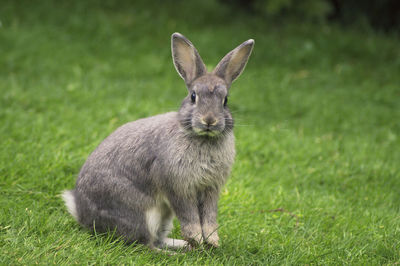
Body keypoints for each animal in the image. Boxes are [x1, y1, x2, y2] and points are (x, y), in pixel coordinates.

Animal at [61, 32, 253, 250]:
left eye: (225, 100)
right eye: (193, 96)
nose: (209, 120)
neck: (202, 138)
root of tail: (84, 216)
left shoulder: (211, 189)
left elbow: (210, 216)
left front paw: (212, 241)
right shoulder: (178, 187)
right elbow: (189, 215)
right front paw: (197, 238)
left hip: (164, 215)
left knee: (157, 239)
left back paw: (182, 245)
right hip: (142, 213)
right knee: (146, 244)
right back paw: (178, 250)